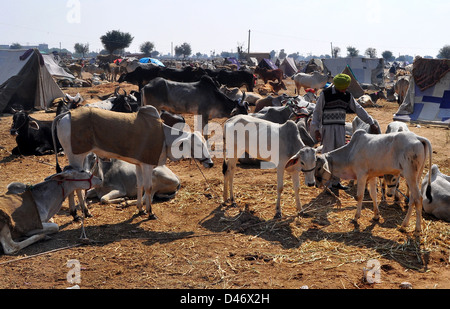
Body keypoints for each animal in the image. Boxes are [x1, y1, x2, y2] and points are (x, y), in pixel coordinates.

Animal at [51, 105, 214, 219]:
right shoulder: (148, 165)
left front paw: (140, 209)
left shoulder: (139, 164)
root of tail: (67, 114)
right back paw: (83, 212)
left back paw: (77, 213)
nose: (211, 163)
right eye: (197, 144)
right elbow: (147, 188)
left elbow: (139, 185)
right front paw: (150, 213)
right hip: (77, 156)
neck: (164, 136)